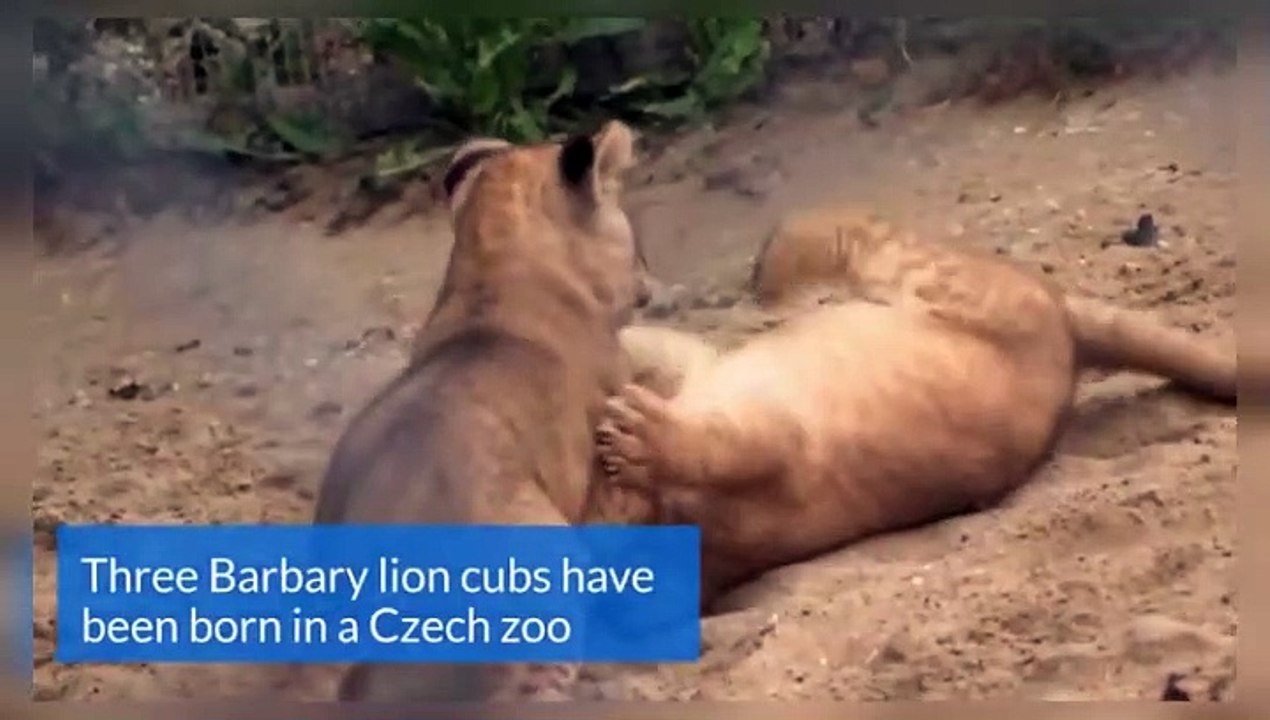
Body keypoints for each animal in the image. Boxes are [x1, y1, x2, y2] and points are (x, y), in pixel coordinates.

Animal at [598, 206, 1236, 612]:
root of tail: (1063, 322)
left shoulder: (774, 434)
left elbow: (718, 439)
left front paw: (637, 432)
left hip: (912, 271)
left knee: (838, 226)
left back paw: (767, 271)